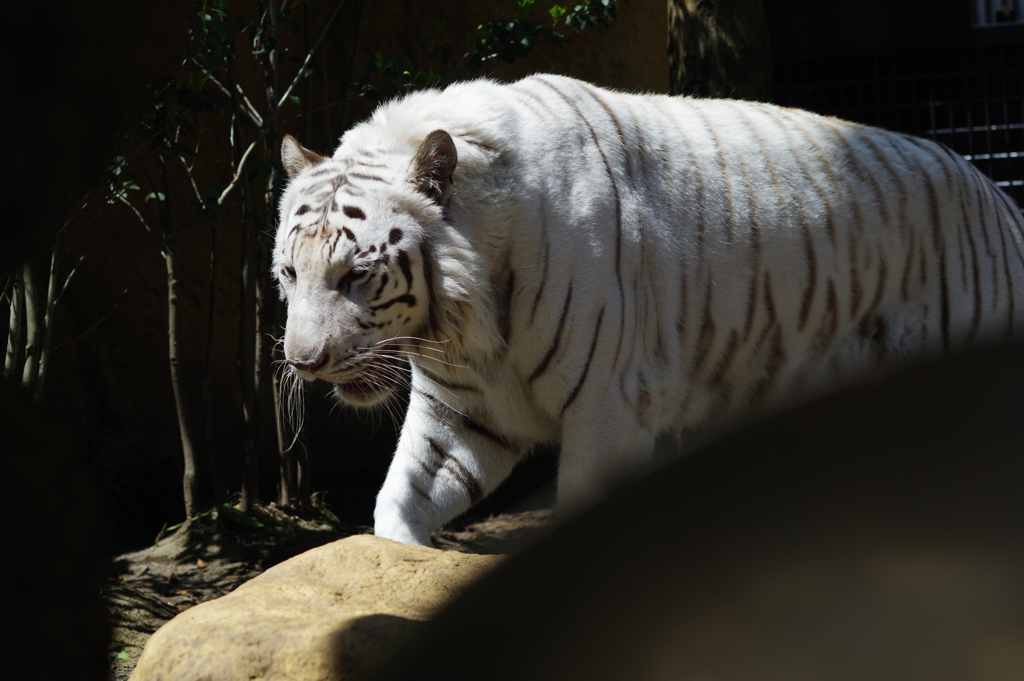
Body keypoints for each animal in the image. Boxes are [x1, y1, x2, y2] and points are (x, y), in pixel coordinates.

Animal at [272, 71, 1024, 544]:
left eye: (355, 276)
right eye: (288, 273)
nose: (304, 363)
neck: (471, 324)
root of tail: (997, 193)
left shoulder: (609, 410)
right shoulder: (460, 415)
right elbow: (397, 501)